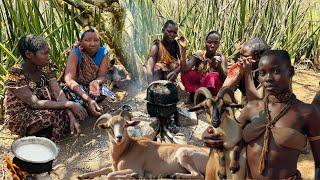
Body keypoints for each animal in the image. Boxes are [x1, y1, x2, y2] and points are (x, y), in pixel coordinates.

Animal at [77, 110, 208, 179]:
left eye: (125, 125)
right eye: (109, 126)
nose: (119, 137)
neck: (127, 150)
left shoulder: (135, 168)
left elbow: (110, 175)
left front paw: (133, 176)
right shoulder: (113, 167)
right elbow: (103, 170)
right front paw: (82, 176)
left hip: (183, 154)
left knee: (198, 175)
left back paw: (174, 175)